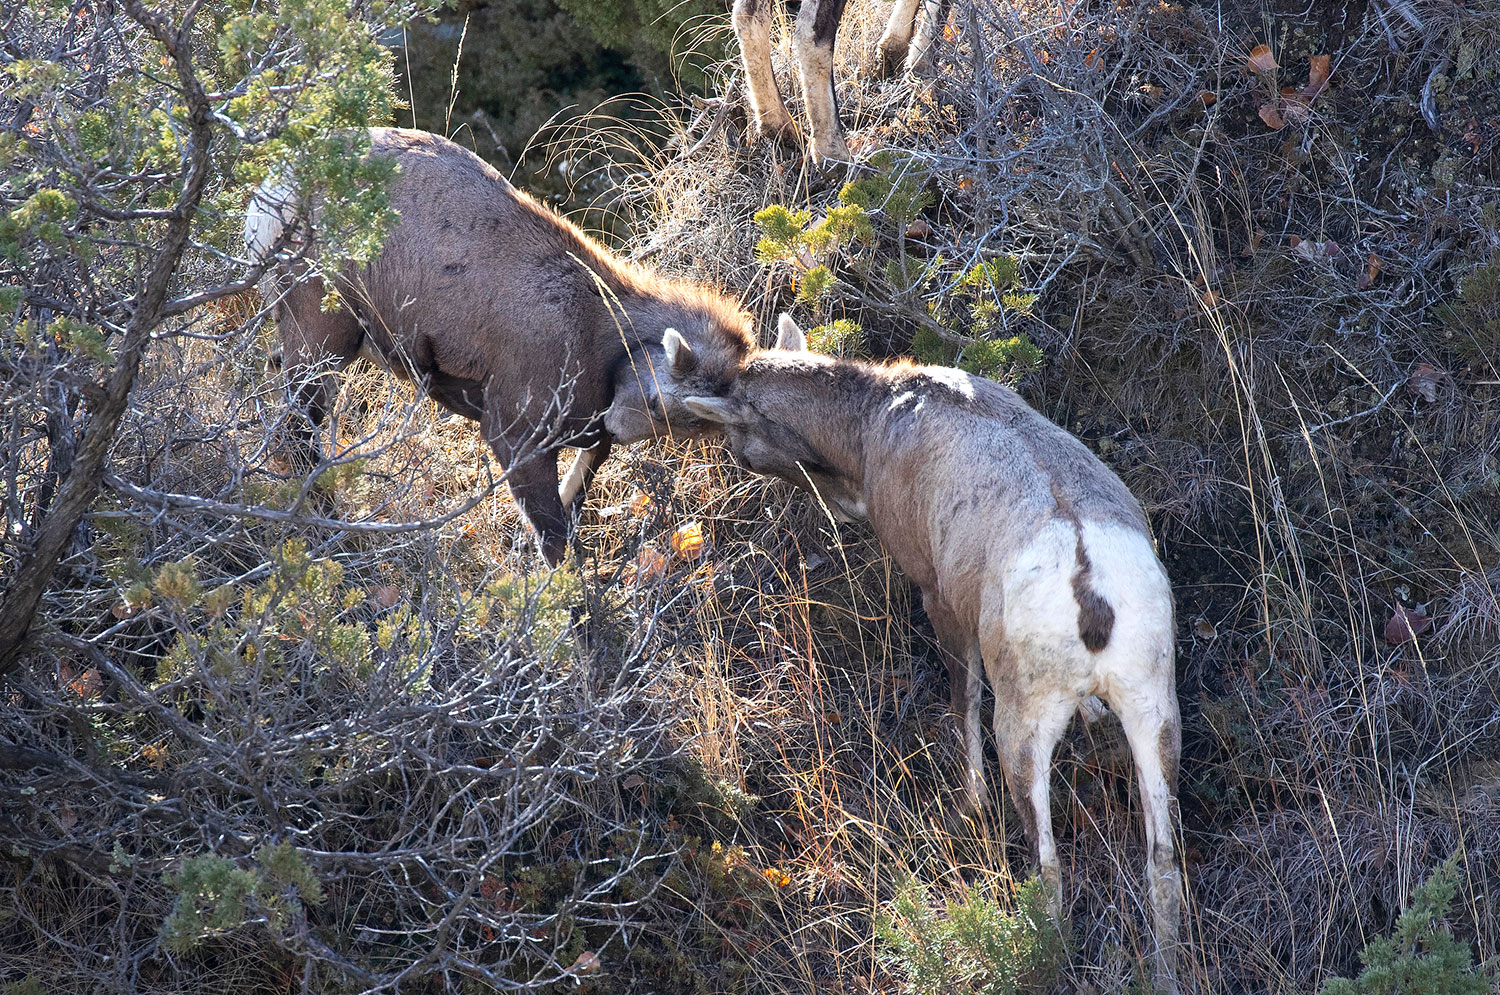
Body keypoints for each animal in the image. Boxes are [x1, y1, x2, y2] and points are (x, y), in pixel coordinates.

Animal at [249, 128, 762, 564]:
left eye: (695, 426)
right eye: (657, 403)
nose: (615, 427)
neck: (599, 340)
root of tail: (276, 194)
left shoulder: (584, 442)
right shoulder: (512, 430)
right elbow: (555, 545)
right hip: (322, 333)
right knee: (292, 433)